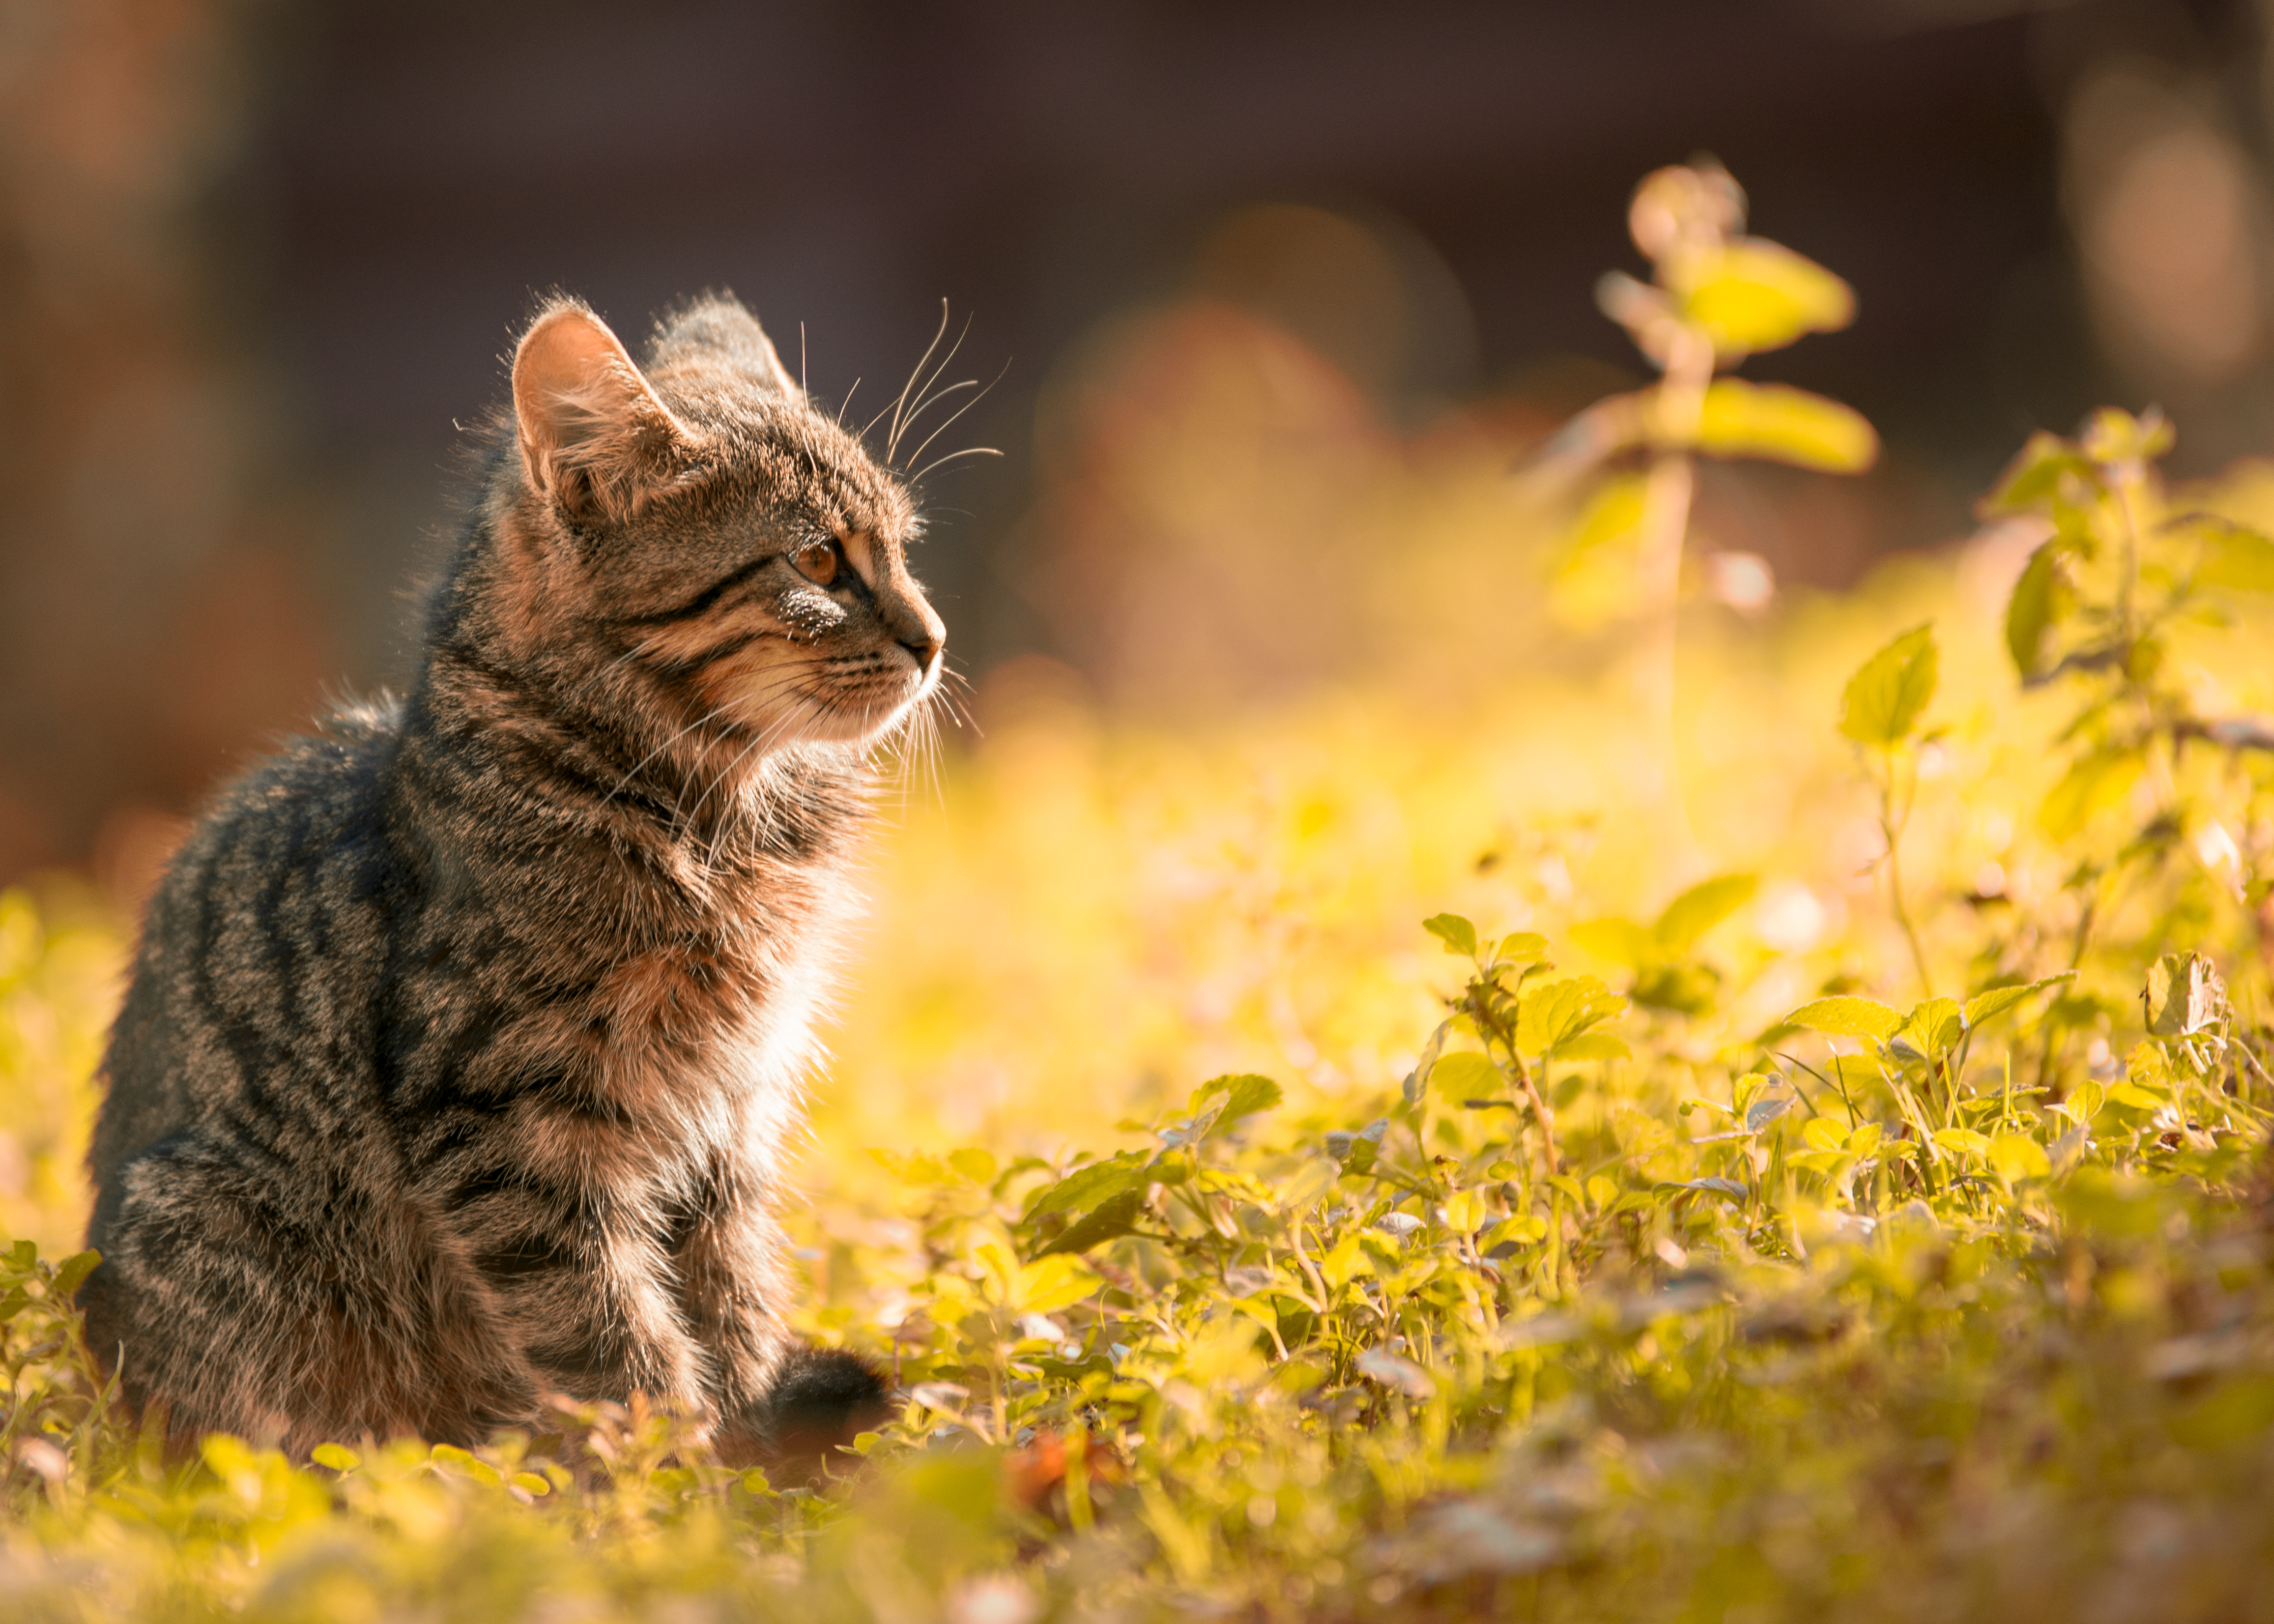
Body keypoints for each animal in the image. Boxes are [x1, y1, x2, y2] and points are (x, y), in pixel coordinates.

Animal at [75, 291, 937, 1456]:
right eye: (813, 562)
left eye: (901, 547)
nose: (934, 639)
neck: (718, 815)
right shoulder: (509, 1125)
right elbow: (611, 1334)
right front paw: (676, 1475)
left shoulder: (729, 1111)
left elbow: (732, 1293)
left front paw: (752, 1436)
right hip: (202, 1222)